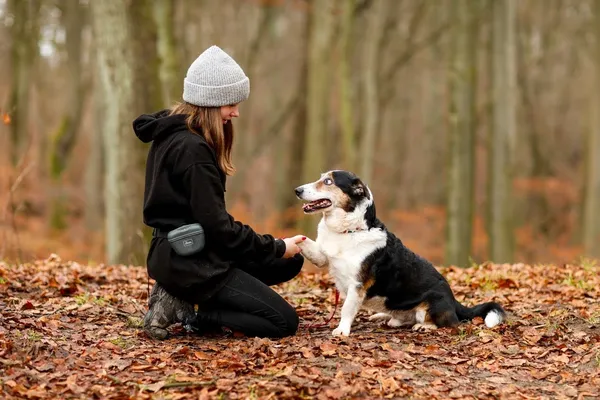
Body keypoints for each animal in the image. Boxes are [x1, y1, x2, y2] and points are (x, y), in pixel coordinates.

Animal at [296, 170, 506, 336]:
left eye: (328, 181)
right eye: (322, 177)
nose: (297, 190)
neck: (349, 231)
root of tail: (455, 303)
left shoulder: (357, 285)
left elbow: (346, 309)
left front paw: (342, 330)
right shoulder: (323, 257)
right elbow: (306, 243)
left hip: (432, 306)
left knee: (449, 323)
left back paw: (425, 326)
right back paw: (383, 315)